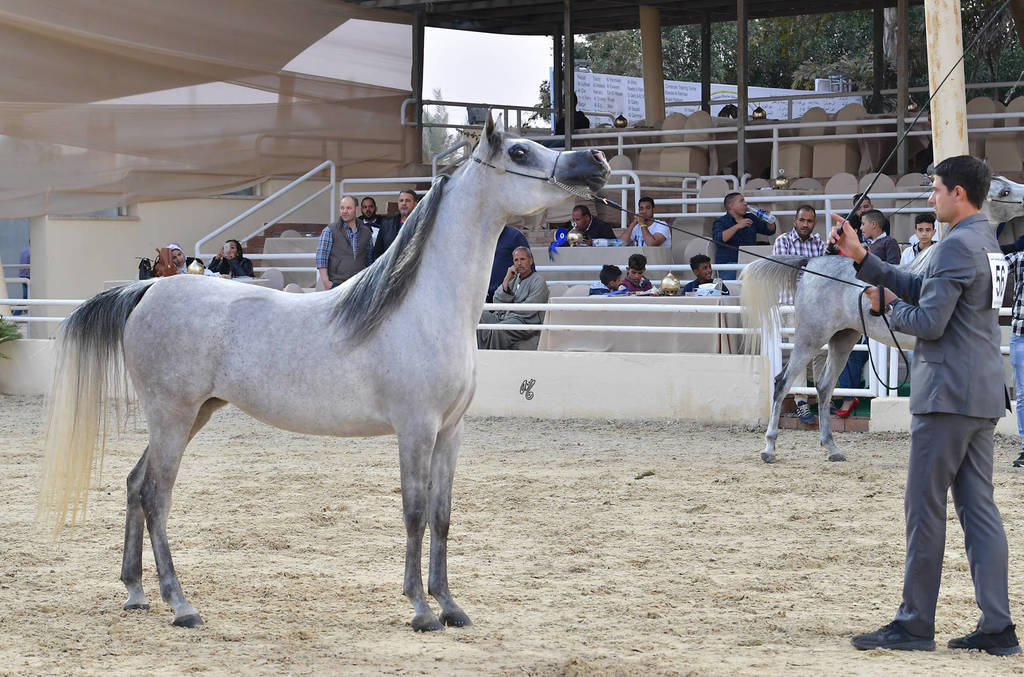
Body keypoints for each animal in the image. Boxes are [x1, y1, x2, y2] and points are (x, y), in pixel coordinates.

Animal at [36, 112, 611, 630]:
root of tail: (150, 287)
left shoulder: (450, 431)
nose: (597, 162)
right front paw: (421, 610)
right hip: (172, 417)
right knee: (156, 496)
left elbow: (443, 515)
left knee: (136, 485)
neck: (426, 307)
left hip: (190, 415)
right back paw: (181, 606)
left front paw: (450, 606)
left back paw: (136, 593)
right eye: (520, 152)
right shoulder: (415, 429)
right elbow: (414, 512)